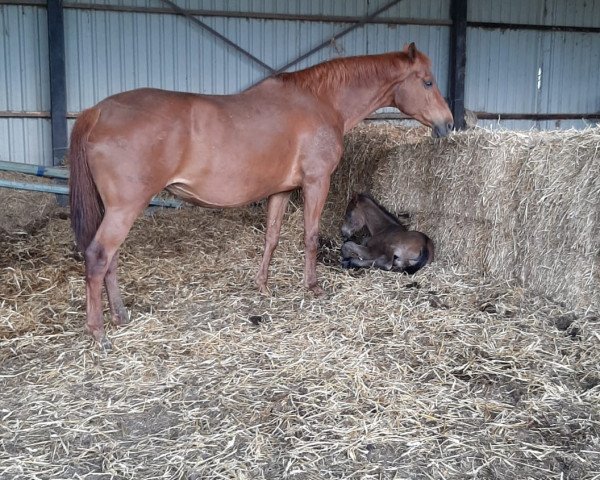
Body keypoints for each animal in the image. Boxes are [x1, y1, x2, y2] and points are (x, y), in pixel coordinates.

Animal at [69, 43, 450, 346]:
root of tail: (97, 112)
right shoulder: (316, 183)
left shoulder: (280, 191)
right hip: (125, 208)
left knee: (111, 259)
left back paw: (119, 315)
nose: (447, 124)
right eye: (427, 81)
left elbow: (272, 237)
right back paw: (98, 332)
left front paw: (263, 286)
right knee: (98, 257)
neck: (320, 101)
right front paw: (313, 287)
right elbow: (310, 236)